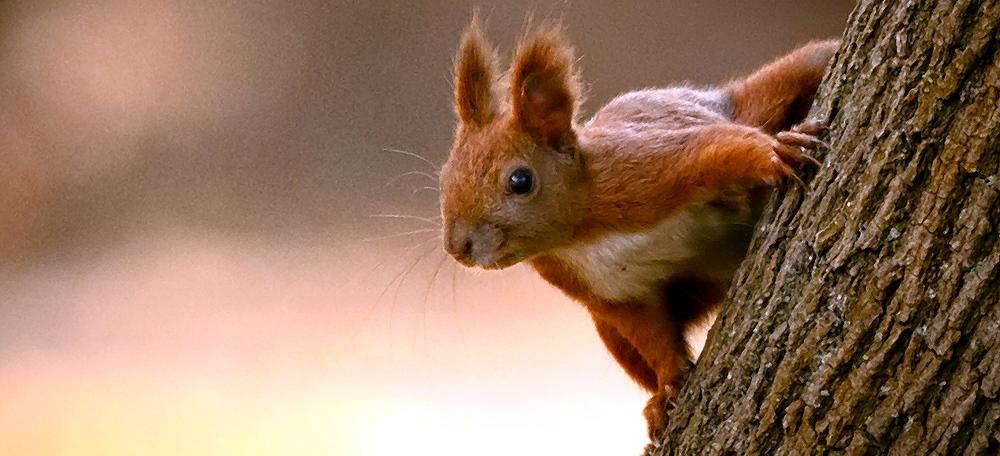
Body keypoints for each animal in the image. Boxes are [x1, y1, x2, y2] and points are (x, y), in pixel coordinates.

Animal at [438, 18, 836, 438]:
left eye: (521, 181)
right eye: (444, 178)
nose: (458, 246)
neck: (579, 237)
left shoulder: (640, 168)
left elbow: (715, 149)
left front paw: (775, 153)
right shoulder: (608, 293)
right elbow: (651, 335)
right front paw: (670, 384)